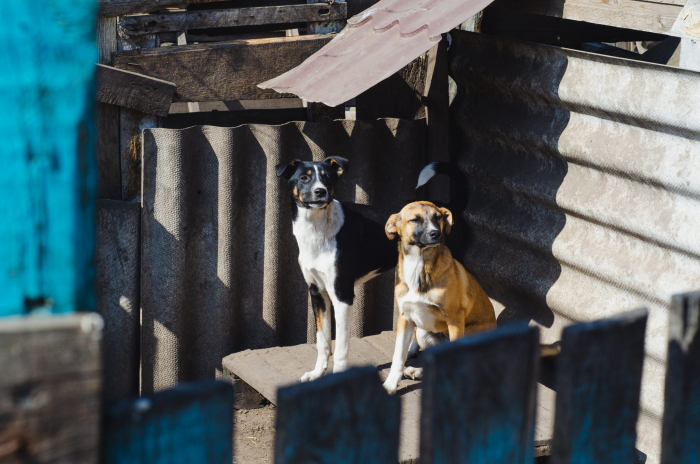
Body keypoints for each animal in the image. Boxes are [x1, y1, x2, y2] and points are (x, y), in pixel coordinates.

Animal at [276, 156, 468, 380]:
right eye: (304, 178)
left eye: (328, 179)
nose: (320, 191)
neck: (317, 229)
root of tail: (446, 207)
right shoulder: (317, 292)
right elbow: (322, 341)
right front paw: (316, 373)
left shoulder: (342, 295)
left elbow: (340, 347)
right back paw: (411, 350)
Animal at [380, 201, 494, 394]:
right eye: (414, 220)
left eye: (438, 217)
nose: (436, 234)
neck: (419, 267)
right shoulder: (405, 318)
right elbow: (398, 356)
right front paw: (390, 385)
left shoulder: (455, 320)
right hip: (422, 332)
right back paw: (416, 371)